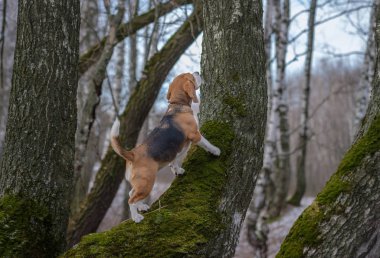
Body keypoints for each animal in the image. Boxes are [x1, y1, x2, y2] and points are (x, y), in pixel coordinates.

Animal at [110, 72, 220, 222]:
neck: (177, 105)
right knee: (131, 200)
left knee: (131, 193)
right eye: (191, 76)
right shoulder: (195, 135)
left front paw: (177, 170)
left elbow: (175, 160)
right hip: (147, 182)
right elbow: (207, 143)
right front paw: (215, 151)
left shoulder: (181, 148)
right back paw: (136, 217)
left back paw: (142, 207)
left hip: (140, 183)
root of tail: (132, 154)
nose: (198, 72)